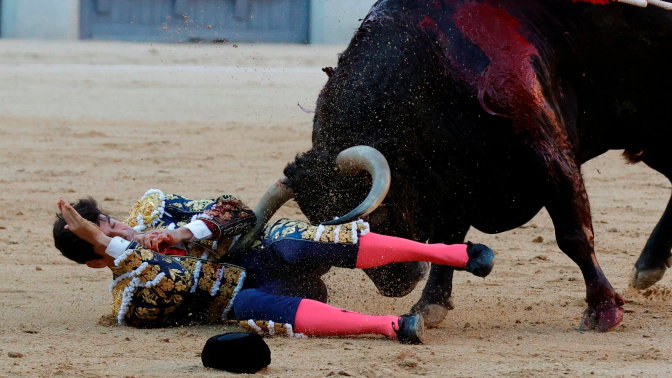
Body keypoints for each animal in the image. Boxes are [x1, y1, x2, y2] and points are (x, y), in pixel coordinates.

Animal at [276, 0, 668, 330]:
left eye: (379, 211)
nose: (395, 284)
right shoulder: (452, 179)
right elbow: (446, 240)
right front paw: (430, 304)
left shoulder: (550, 159)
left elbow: (574, 235)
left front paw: (603, 310)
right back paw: (649, 266)